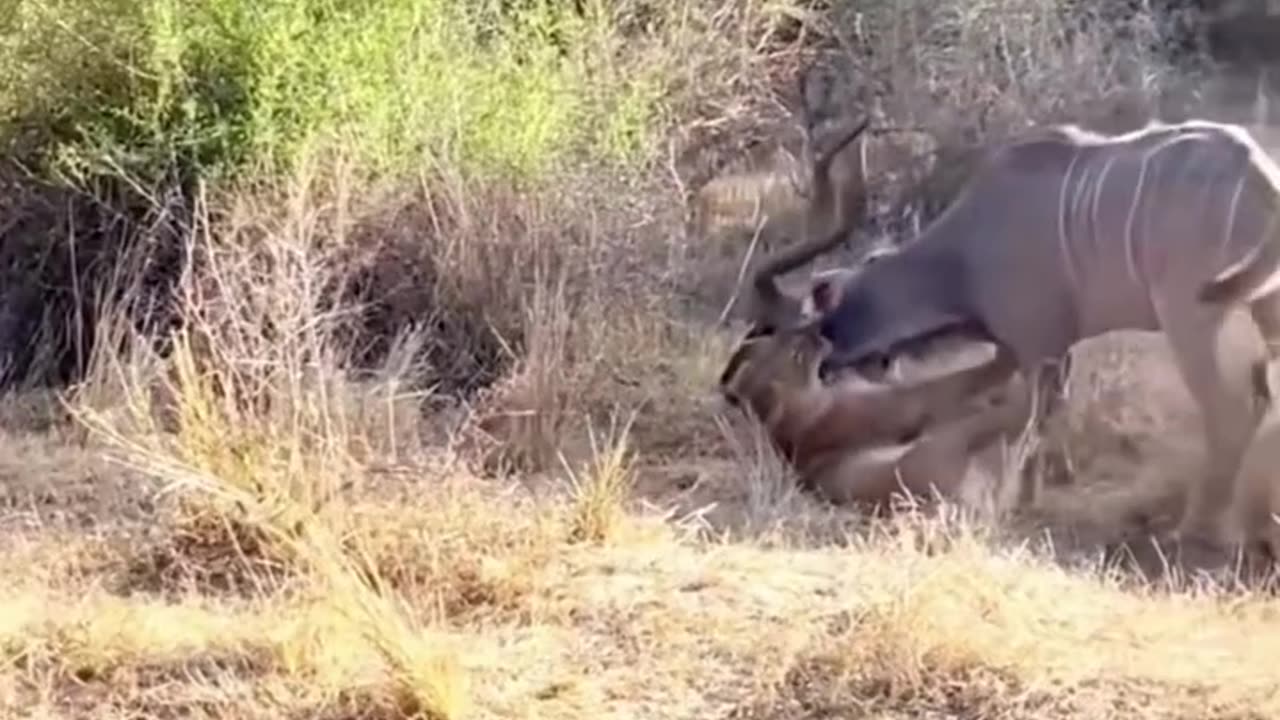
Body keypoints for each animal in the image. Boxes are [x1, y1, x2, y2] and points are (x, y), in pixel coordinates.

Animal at [773, 116, 1280, 556]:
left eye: (822, 325)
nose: (824, 369)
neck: (963, 253)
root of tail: (1260, 173)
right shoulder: (1041, 349)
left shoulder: (1039, 347)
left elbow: (1035, 426)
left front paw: (1020, 505)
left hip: (1193, 314)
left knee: (1233, 410)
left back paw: (1195, 533)